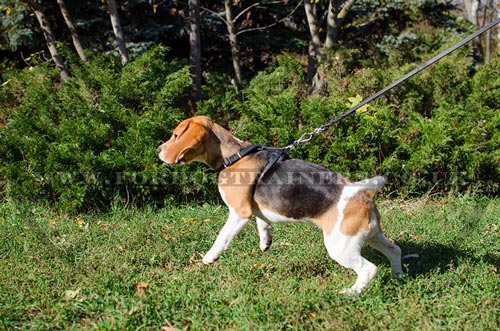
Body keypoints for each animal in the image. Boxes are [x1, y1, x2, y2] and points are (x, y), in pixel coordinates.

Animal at [157, 116, 402, 296]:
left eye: (176, 135)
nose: (158, 149)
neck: (233, 156)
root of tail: (361, 193)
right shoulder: (256, 211)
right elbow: (262, 224)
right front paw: (265, 242)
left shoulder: (239, 213)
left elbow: (223, 236)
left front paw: (209, 256)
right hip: (371, 236)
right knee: (395, 250)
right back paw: (398, 276)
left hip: (341, 246)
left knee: (369, 269)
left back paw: (351, 292)